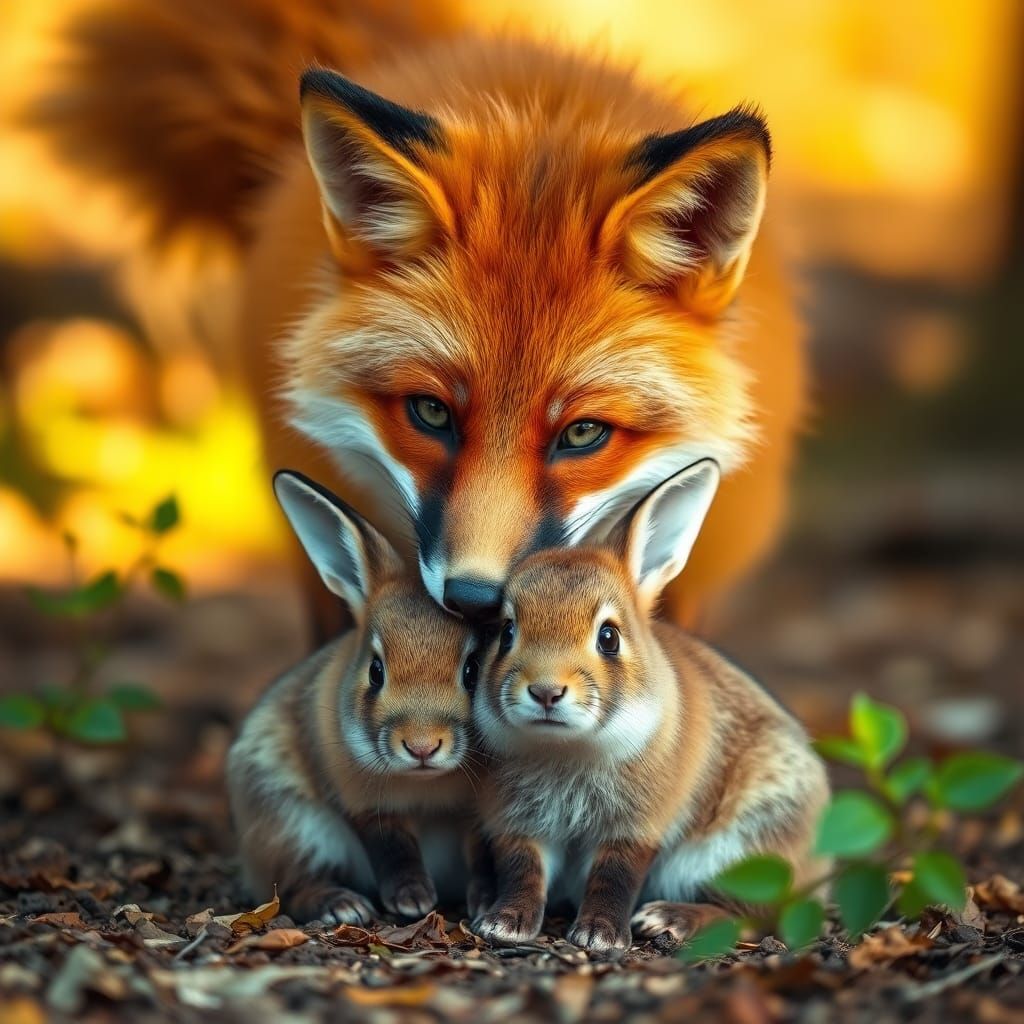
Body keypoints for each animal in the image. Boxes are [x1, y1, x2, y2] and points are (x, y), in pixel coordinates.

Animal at [227, 471, 486, 925]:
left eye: (472, 670)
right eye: (375, 671)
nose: (421, 746)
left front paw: (483, 899)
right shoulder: (364, 805)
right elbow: (393, 847)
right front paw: (411, 898)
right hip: (291, 823)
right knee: (292, 888)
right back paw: (343, 906)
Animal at [470, 459, 830, 953]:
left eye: (609, 637)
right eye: (506, 632)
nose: (545, 691)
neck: (567, 748)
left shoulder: (637, 826)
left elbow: (615, 874)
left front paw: (600, 936)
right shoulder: (516, 822)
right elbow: (523, 868)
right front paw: (505, 923)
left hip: (745, 847)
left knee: (750, 917)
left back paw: (668, 919)